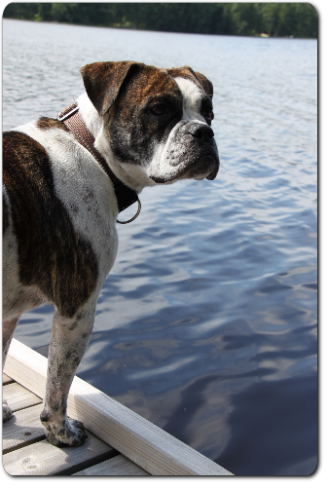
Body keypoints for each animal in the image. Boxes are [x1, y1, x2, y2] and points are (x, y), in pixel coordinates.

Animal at [2, 61, 219, 446]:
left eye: (209, 112)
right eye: (158, 108)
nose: (203, 132)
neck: (90, 149)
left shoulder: (7, 315)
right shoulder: (76, 313)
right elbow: (58, 385)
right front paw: (60, 432)